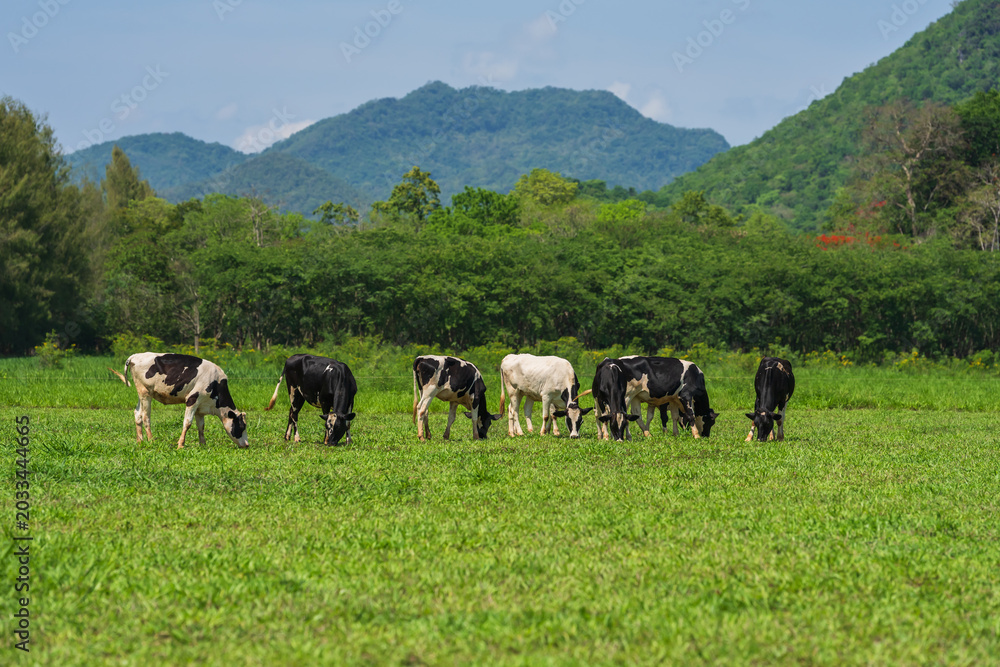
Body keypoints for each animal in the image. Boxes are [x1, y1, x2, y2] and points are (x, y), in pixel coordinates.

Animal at [109, 352, 249, 449]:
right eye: (242, 426)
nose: (247, 445)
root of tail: (135, 356)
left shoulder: (200, 408)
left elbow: (201, 426)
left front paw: (203, 444)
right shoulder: (192, 399)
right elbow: (187, 423)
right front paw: (180, 444)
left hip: (142, 393)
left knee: (137, 414)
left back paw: (140, 441)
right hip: (145, 392)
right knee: (145, 416)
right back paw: (151, 440)